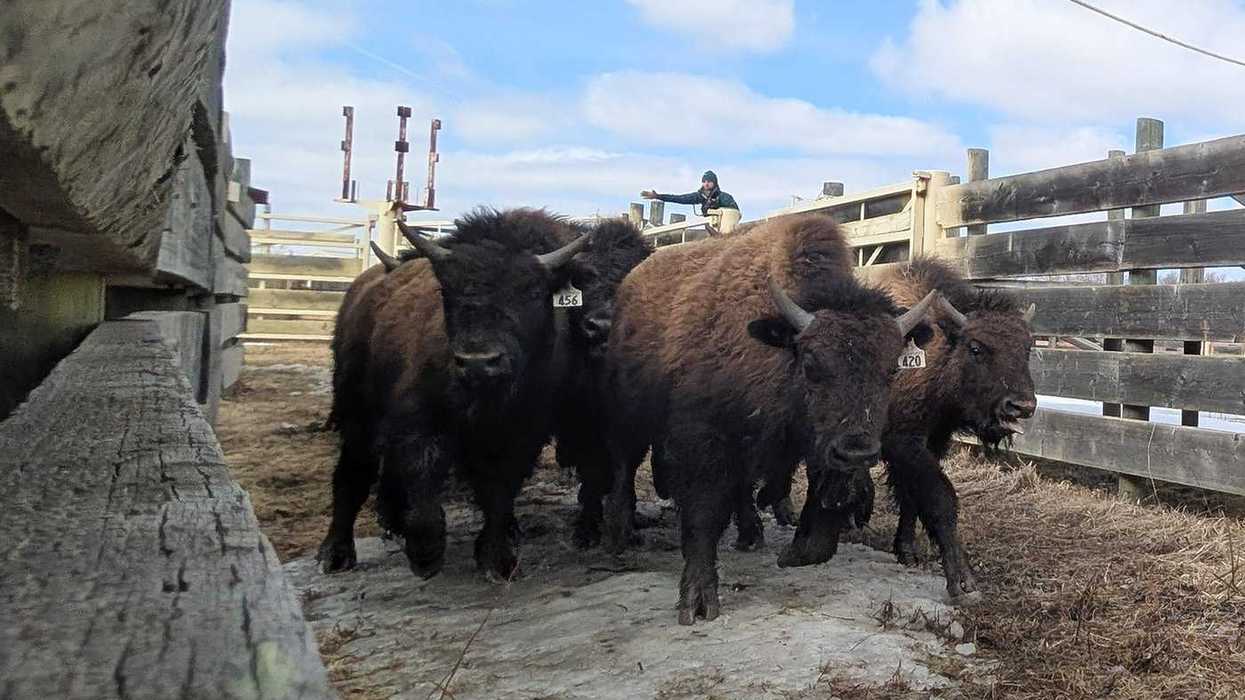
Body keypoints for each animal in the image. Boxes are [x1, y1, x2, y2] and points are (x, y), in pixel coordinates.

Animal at [601, 214, 936, 624]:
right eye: (811, 364)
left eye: (892, 369)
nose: (857, 452)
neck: (777, 350)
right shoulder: (704, 440)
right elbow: (703, 513)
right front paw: (697, 600)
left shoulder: (812, 447)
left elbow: (821, 518)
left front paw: (793, 552)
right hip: (627, 413)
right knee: (624, 465)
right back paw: (620, 534)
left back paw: (750, 534)